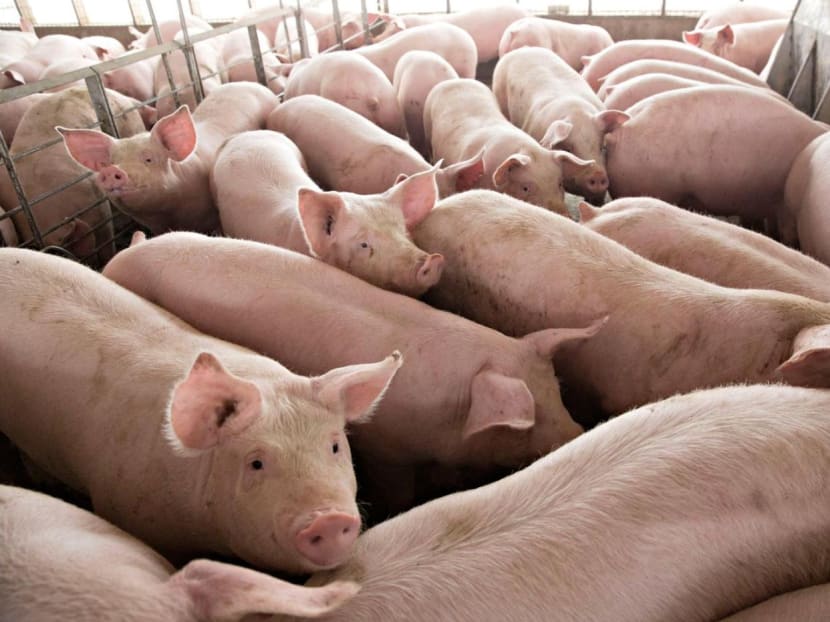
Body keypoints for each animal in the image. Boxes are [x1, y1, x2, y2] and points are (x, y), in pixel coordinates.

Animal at [103, 231, 594, 517]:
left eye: (557, 391)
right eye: (522, 421)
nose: (579, 432)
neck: (450, 410)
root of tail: (125, 249)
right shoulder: (387, 452)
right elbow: (399, 493)